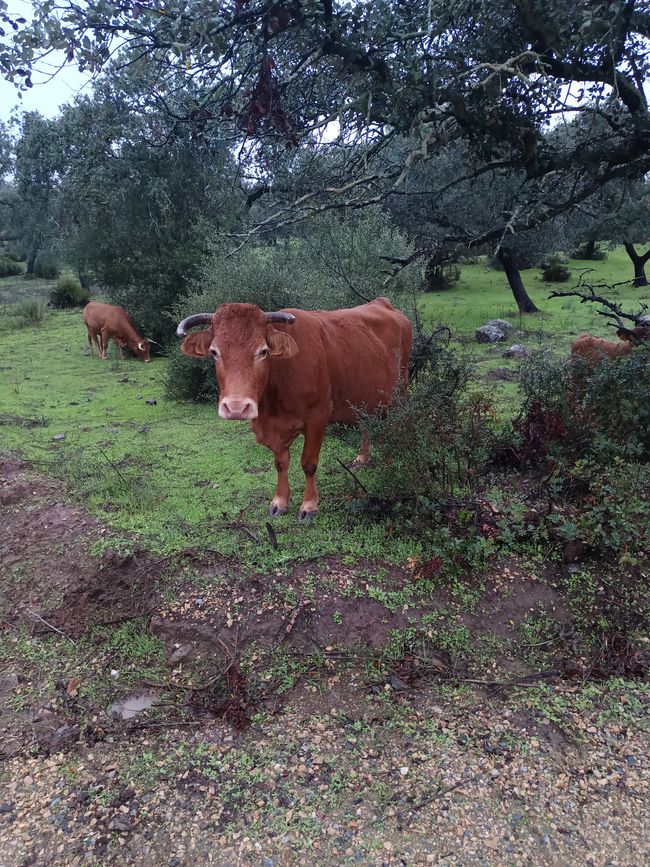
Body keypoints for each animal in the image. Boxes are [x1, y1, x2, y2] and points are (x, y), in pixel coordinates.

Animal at [176, 294, 410, 524]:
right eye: (214, 352)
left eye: (263, 351)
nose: (236, 407)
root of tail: (383, 303)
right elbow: (280, 463)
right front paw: (279, 502)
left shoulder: (317, 418)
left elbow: (309, 463)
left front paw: (309, 505)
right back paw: (362, 458)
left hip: (401, 390)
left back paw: (392, 461)